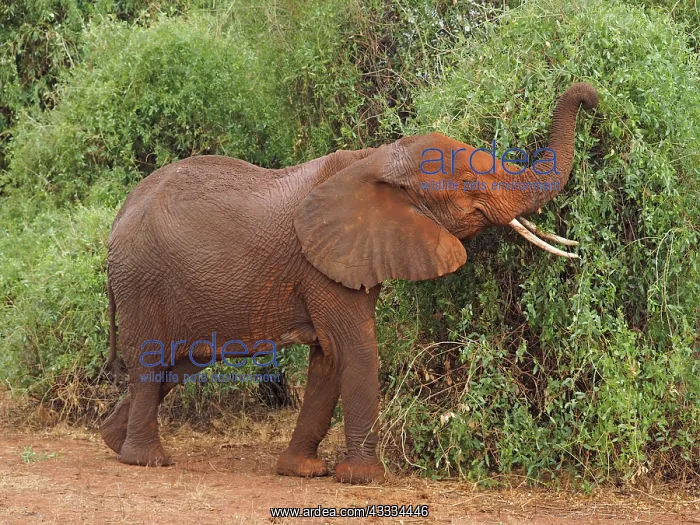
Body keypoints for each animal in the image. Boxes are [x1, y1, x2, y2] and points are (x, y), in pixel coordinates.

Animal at [101, 82, 598, 483]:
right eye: (470, 187)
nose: (590, 98)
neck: (375, 157)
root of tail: (117, 219)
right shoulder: (321, 264)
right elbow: (355, 349)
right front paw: (364, 478)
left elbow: (327, 359)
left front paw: (302, 471)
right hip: (142, 280)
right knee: (152, 359)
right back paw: (146, 460)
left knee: (181, 363)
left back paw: (110, 440)